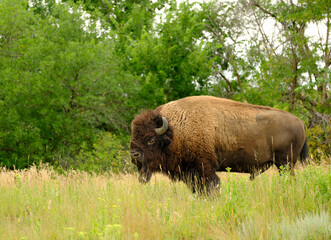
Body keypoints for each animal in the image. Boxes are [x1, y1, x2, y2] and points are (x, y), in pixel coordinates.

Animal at [130, 95, 308, 193]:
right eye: (133, 136)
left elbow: (211, 187)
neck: (176, 131)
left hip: (285, 163)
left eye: (151, 139)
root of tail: (300, 122)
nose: (134, 155)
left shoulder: (204, 168)